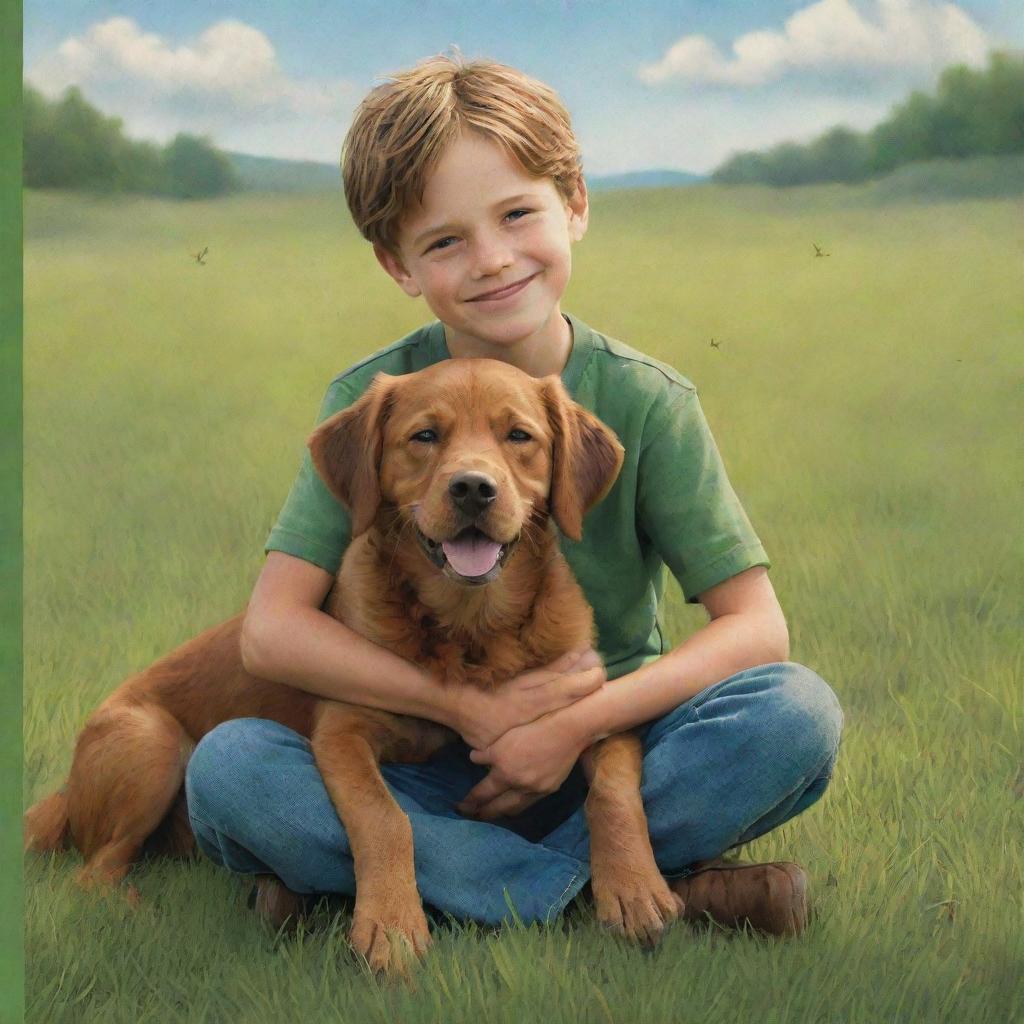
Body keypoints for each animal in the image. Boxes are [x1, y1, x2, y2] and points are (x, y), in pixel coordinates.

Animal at [22, 360, 679, 974]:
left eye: (519, 436)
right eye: (424, 436)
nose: (473, 488)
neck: (471, 628)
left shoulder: (592, 703)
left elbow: (614, 790)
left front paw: (634, 889)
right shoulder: (342, 731)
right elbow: (387, 819)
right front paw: (391, 926)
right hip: (152, 744)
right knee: (95, 872)